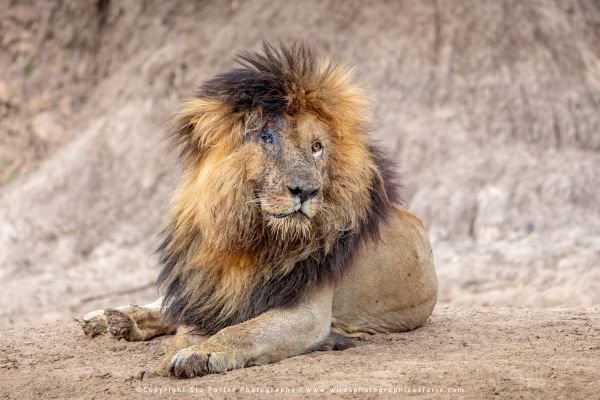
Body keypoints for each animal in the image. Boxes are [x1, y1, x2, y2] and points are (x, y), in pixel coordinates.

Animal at [78, 43, 436, 378]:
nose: (306, 191)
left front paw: (201, 354)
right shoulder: (212, 292)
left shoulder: (306, 311)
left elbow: (243, 331)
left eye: (317, 147)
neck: (255, 239)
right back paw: (111, 318)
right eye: (267, 137)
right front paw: (167, 359)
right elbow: (183, 331)